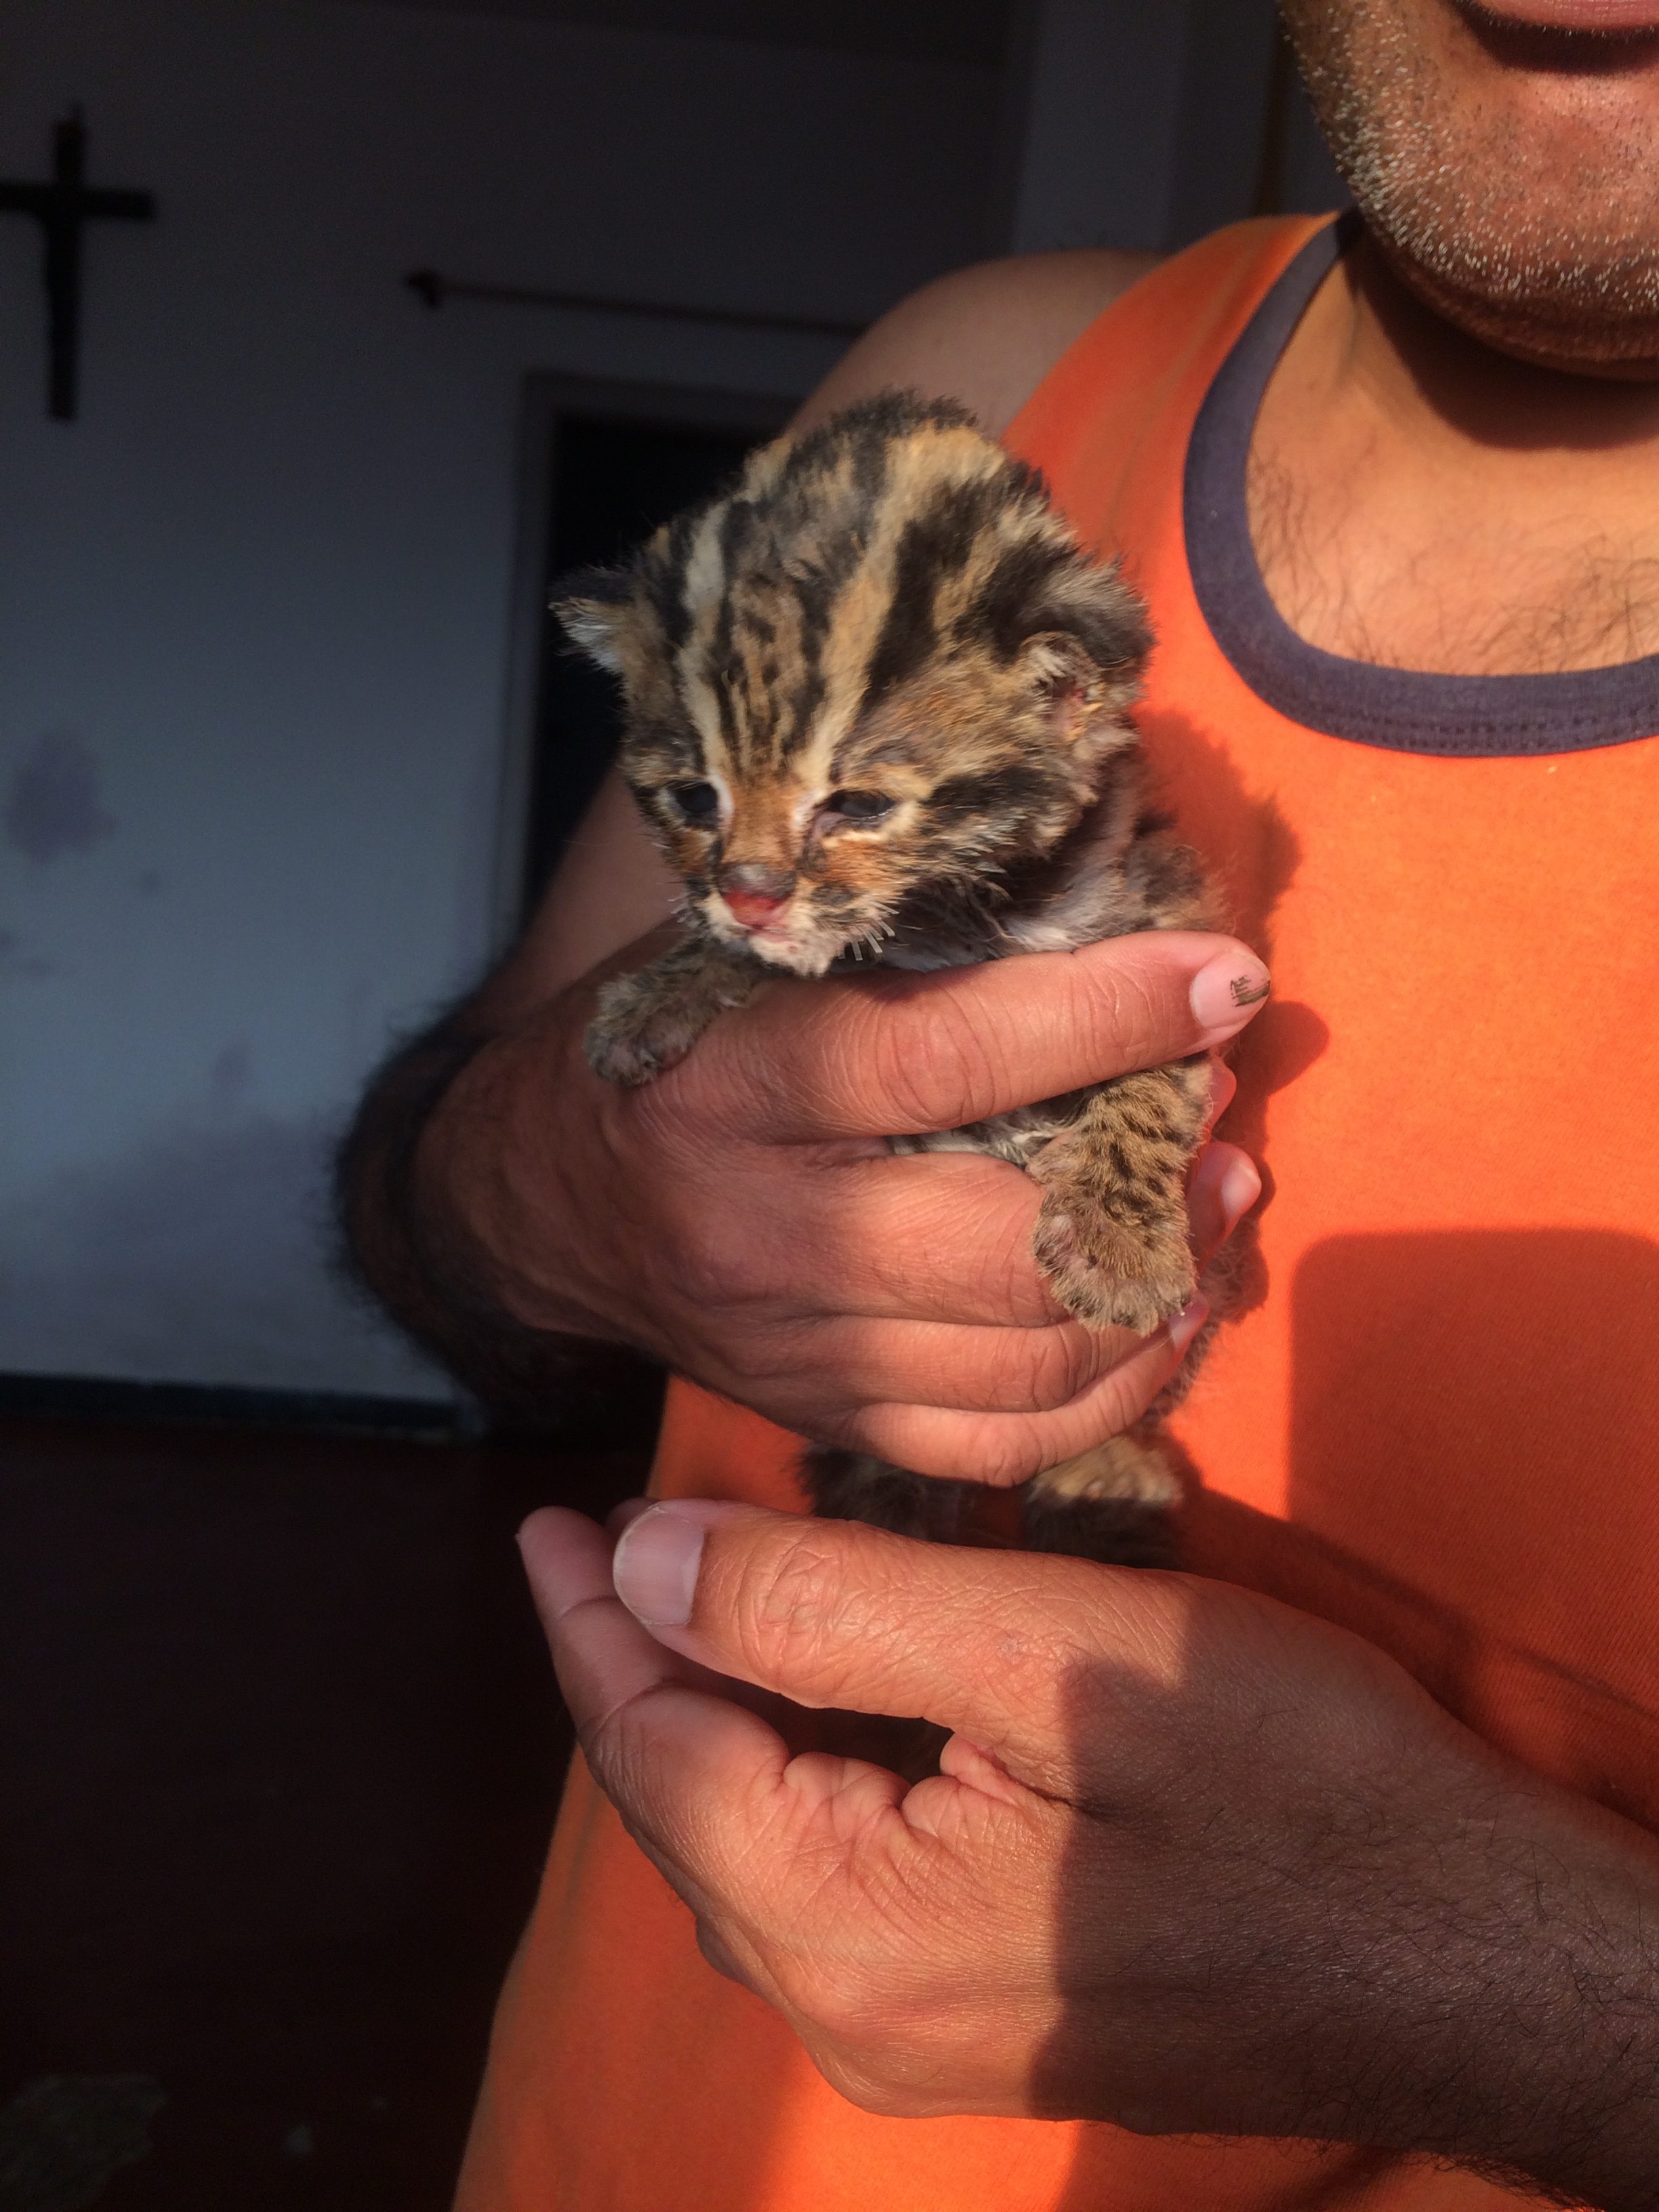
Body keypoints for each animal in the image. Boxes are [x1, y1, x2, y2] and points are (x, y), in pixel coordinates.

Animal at [555, 393, 1238, 1574]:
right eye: (694, 797)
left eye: (861, 806)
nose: (749, 894)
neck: (949, 915)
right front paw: (668, 987)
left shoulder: (1172, 918)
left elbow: (1158, 1076)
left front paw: (1117, 1235)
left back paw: (1104, 1477)